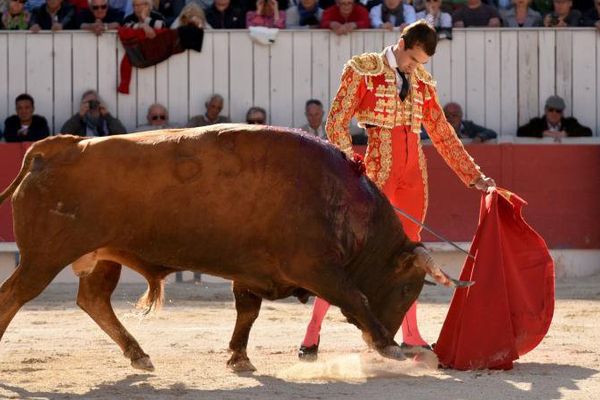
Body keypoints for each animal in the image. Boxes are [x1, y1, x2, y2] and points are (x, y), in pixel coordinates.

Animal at [0, 125, 464, 372]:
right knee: (14, 295)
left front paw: (238, 358)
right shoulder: (318, 268)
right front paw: (389, 345)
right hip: (44, 258)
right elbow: (356, 297)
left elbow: (247, 312)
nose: (388, 338)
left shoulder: (252, 270)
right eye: (407, 289)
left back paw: (139, 355)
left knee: (93, 299)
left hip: (101, 256)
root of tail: (55, 147)